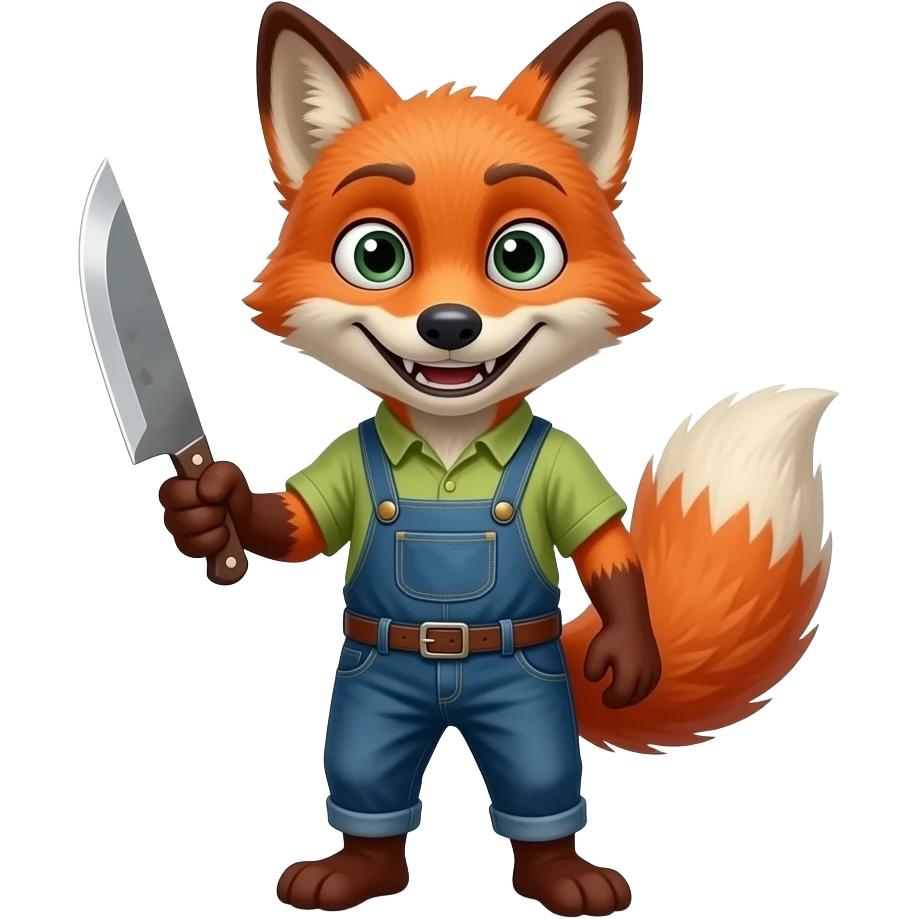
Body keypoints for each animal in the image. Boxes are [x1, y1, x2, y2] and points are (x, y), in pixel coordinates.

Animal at [157, 3, 837, 916]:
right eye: (375, 255)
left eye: (520, 255)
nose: (449, 325)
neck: (450, 439)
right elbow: (295, 525)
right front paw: (210, 505)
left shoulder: (570, 475)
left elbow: (606, 549)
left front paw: (630, 657)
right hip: (371, 691)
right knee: (366, 775)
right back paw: (354, 870)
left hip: (529, 700)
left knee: (539, 780)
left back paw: (562, 875)